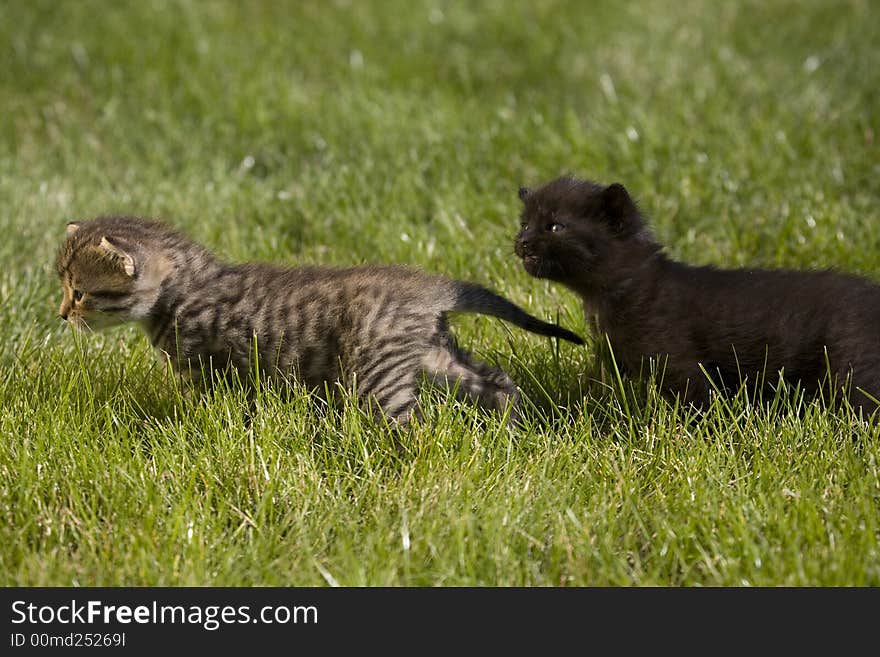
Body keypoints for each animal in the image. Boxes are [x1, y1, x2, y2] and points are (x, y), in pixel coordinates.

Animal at [58, 215, 580, 420]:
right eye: (65, 287)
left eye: (79, 293)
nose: (62, 315)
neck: (185, 288)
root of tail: (430, 286)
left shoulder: (203, 369)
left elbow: (200, 406)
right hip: (434, 355)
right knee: (498, 383)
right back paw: (516, 426)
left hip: (378, 373)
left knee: (408, 422)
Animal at [512, 174, 880, 410]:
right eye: (524, 223)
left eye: (555, 226)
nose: (522, 242)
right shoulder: (614, 360)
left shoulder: (682, 367)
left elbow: (696, 406)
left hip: (853, 370)